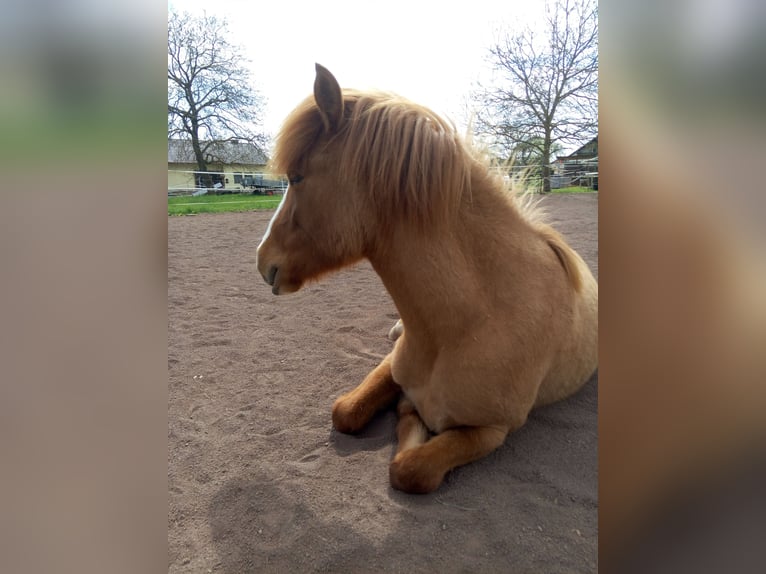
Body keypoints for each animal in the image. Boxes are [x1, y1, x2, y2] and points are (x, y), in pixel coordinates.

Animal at [256, 64, 598, 493]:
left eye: (297, 177)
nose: (262, 261)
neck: (473, 322)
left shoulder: (492, 430)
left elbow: (411, 469)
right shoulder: (393, 366)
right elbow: (346, 411)